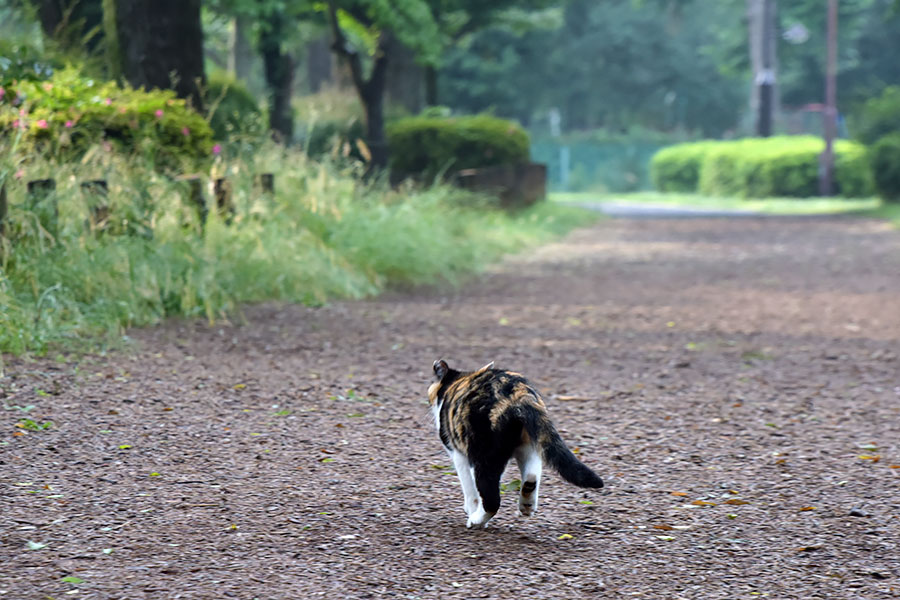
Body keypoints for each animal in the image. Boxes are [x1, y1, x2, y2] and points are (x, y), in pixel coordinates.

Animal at [426, 358, 600, 528]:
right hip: (532, 444)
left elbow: (469, 489)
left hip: (482, 455)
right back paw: (527, 505)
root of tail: (518, 394)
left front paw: (471, 509)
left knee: (492, 500)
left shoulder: (458, 455)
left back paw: (477, 521)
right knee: (531, 477)